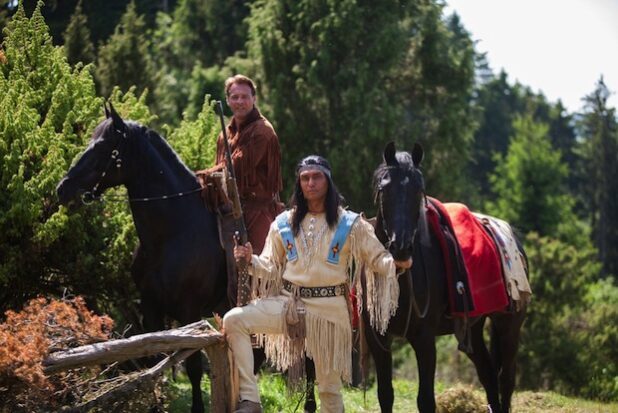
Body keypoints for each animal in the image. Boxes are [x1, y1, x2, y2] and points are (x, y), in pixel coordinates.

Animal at [54, 105, 318, 412]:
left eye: (102, 146)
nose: (63, 188)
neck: (171, 232)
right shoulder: (151, 308)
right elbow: (155, 360)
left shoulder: (189, 310)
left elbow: (192, 366)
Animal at [364, 142, 528, 412]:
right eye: (384, 189)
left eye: (418, 190)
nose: (401, 247)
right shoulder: (378, 339)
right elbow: (385, 395)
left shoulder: (424, 339)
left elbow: (425, 400)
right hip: (473, 328)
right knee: (488, 375)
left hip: (509, 325)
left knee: (506, 380)